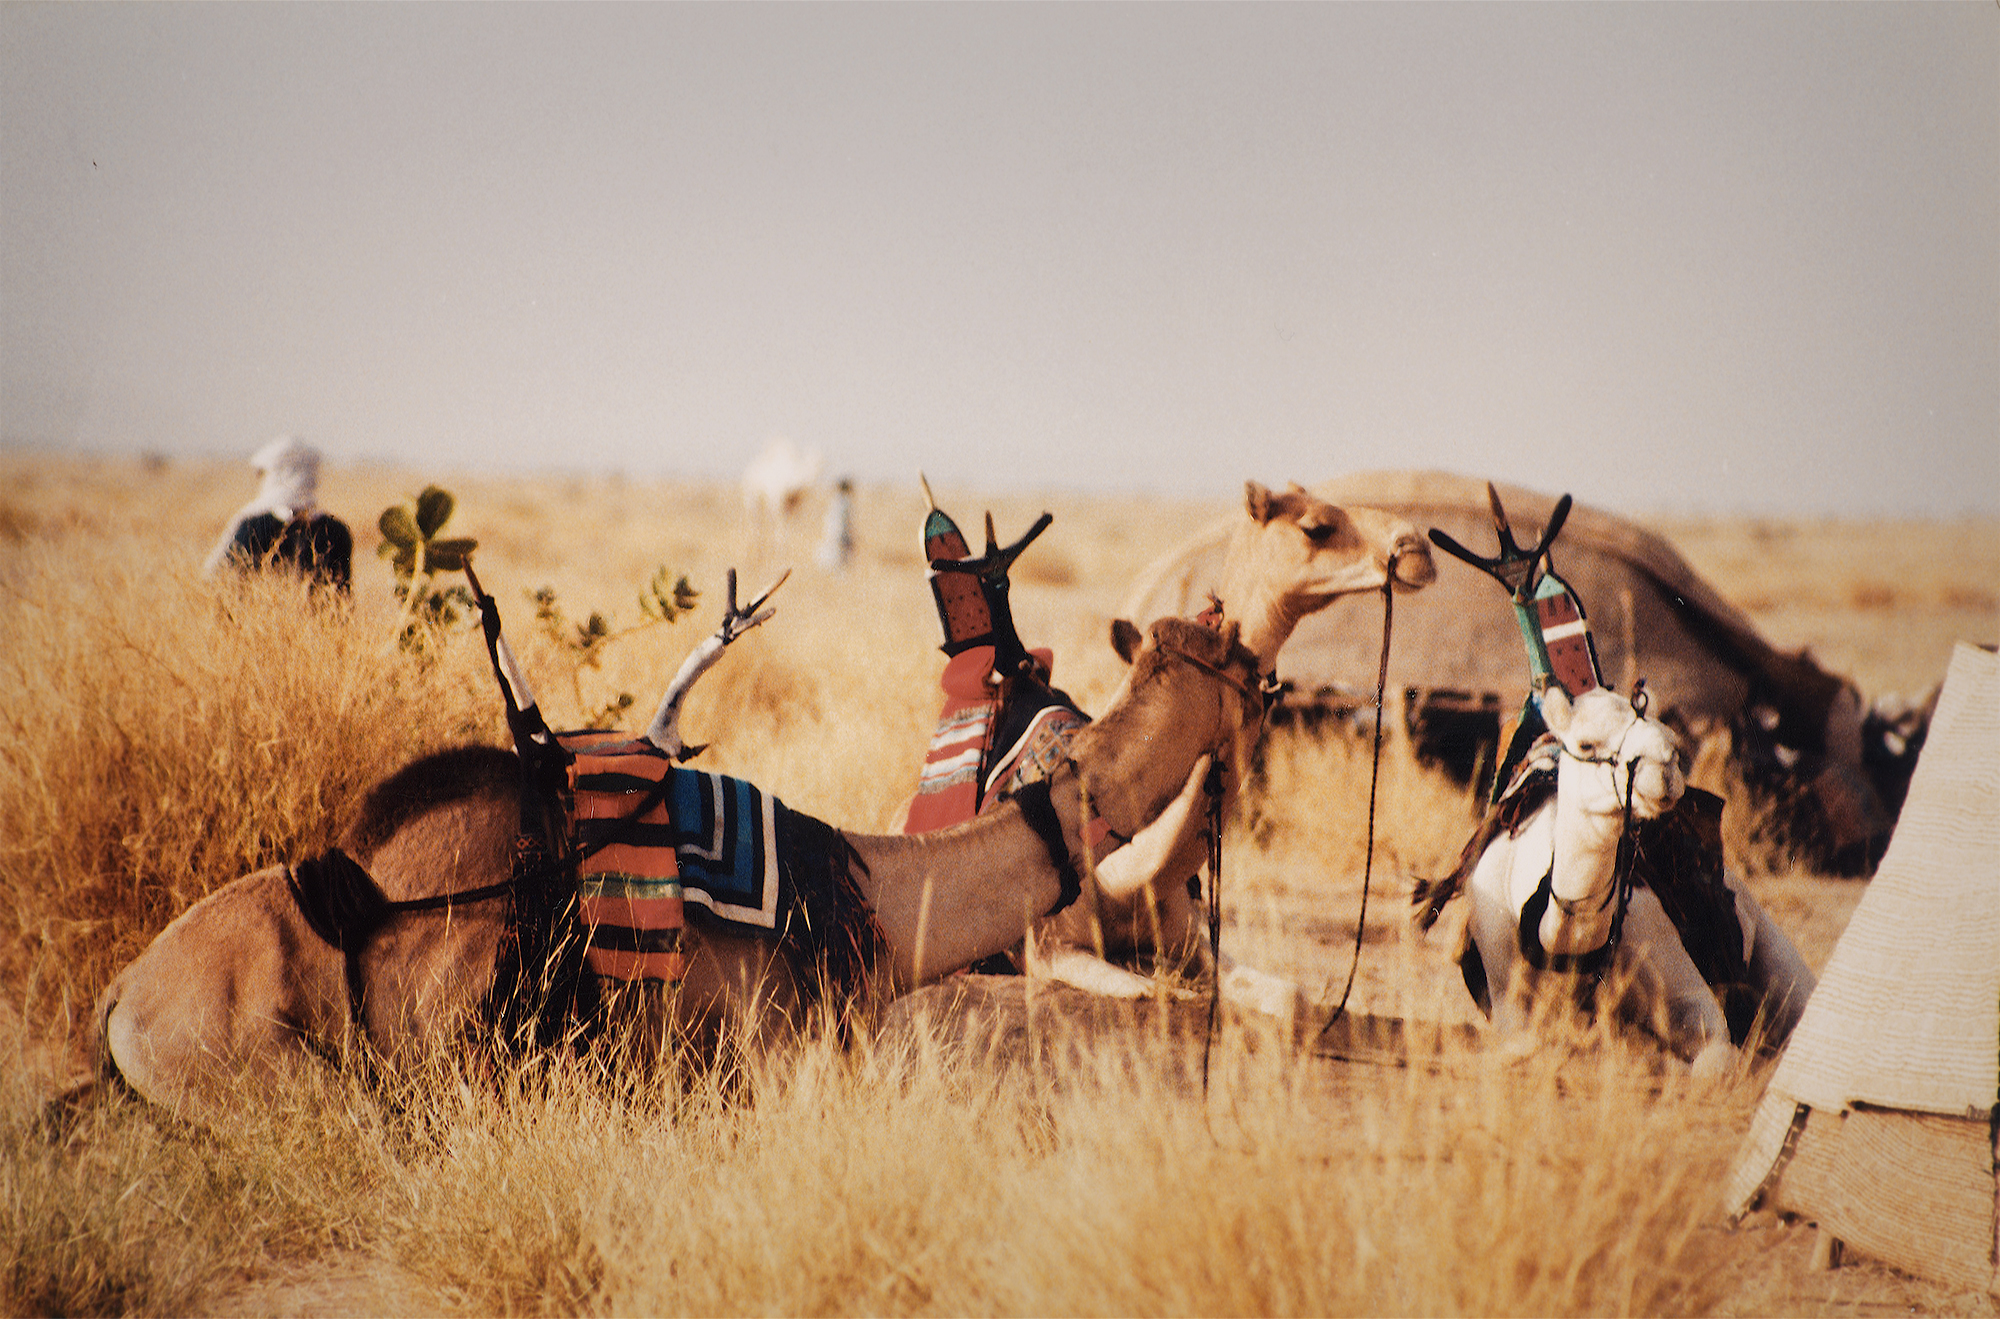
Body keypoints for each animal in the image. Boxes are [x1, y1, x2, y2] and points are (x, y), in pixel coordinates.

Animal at [1416, 683, 1824, 1079]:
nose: (1664, 766)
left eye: (1667, 736)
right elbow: (1533, 1046)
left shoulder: (1682, 985)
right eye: (1586, 744)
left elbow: (1714, 1060)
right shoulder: (1504, 995)